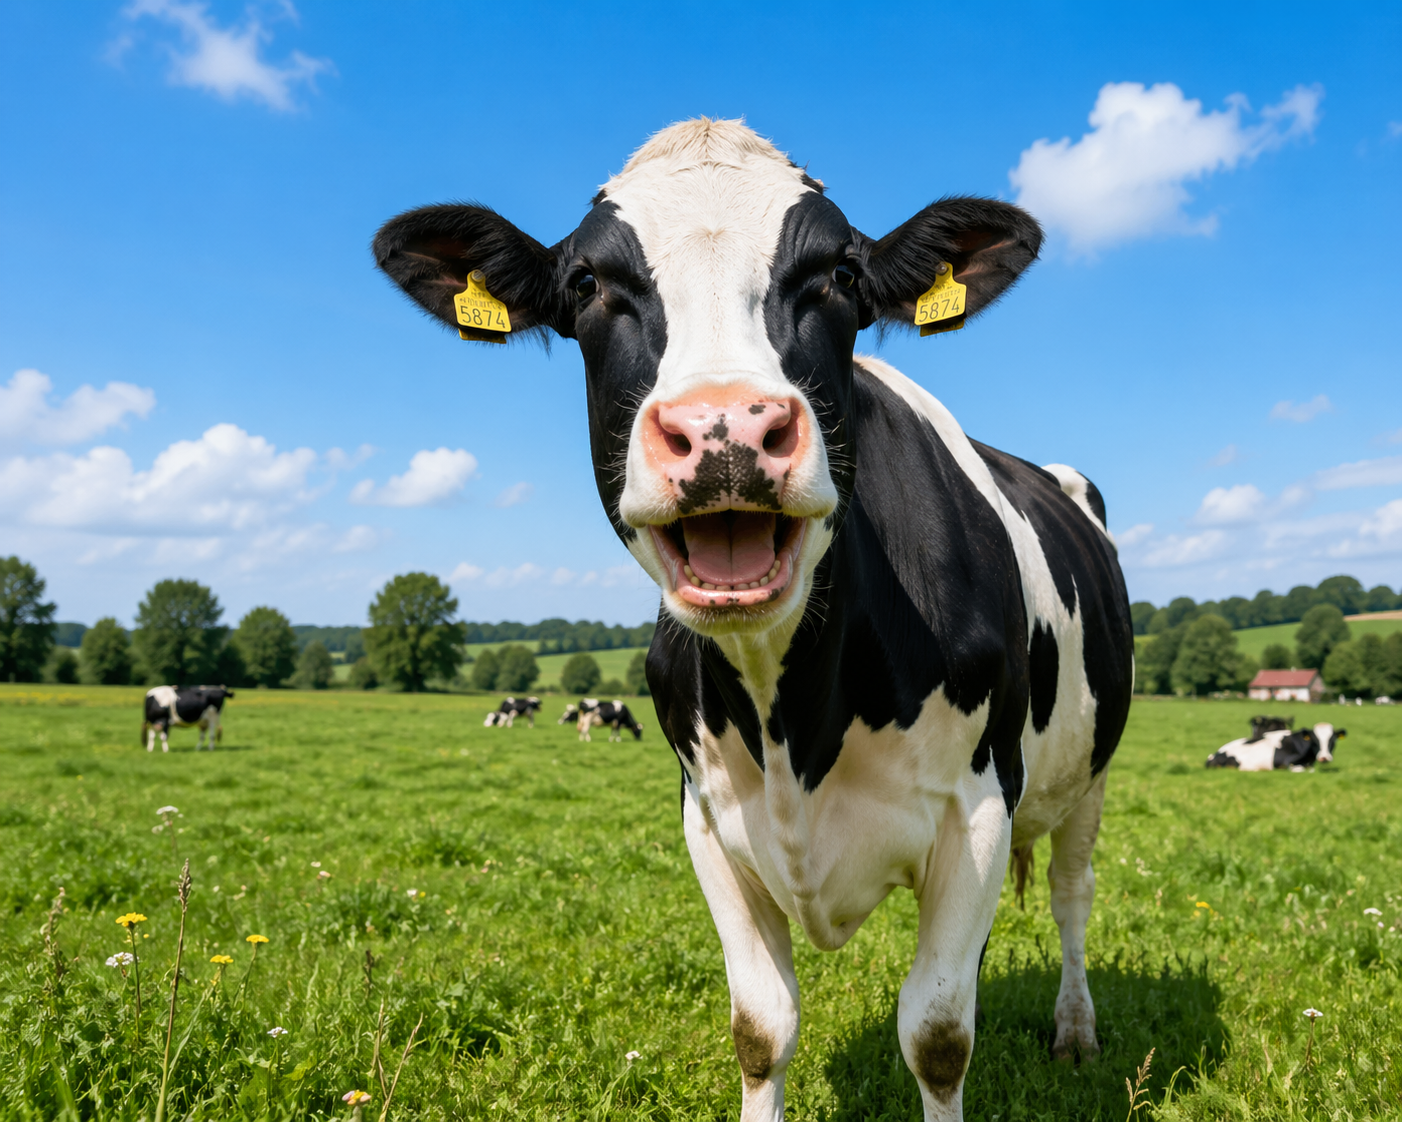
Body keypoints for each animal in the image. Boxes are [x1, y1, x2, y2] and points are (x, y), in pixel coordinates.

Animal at [374, 118, 1134, 1121]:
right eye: (587, 286)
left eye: (842, 274)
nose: (725, 428)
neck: (792, 713)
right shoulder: (709, 820)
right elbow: (761, 1027)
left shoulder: (977, 809)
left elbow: (937, 1037)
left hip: (1087, 776)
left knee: (1070, 894)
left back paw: (1076, 1031)